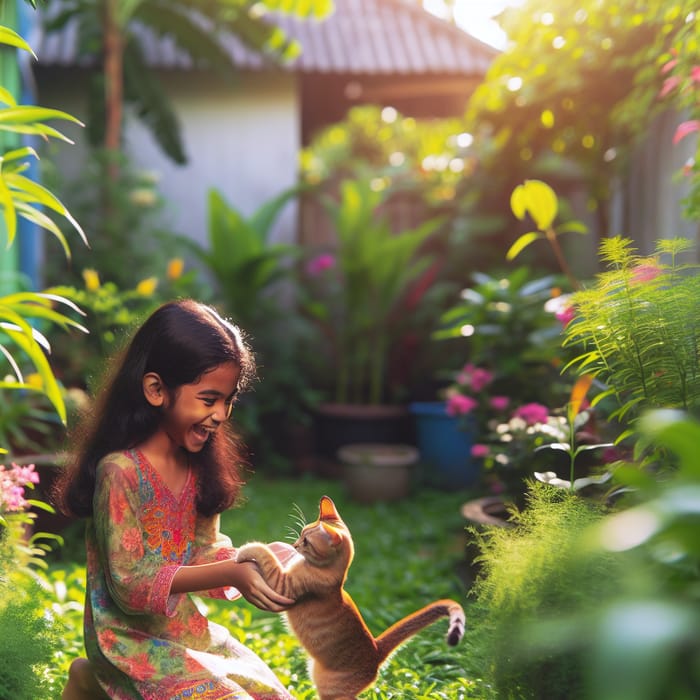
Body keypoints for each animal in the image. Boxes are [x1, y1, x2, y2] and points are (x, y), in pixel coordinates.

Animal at [235, 494, 464, 696]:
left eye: (307, 541)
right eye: (301, 534)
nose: (295, 545)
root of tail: (376, 650)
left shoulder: (282, 586)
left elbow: (265, 554)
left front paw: (245, 550)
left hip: (333, 692)